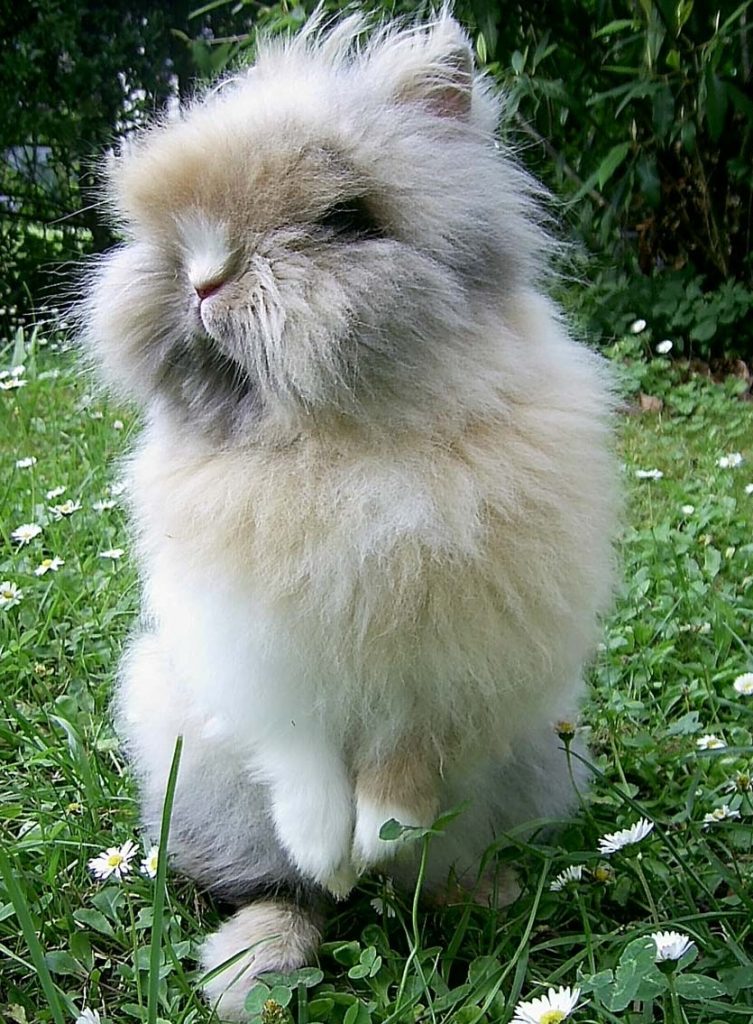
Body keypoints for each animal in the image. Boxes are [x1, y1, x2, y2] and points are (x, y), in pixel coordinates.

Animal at [79, 7, 618, 1018]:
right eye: (164, 230)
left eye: (345, 221)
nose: (201, 280)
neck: (335, 449)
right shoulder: (250, 654)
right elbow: (297, 758)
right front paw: (330, 852)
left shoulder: (440, 665)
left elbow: (402, 764)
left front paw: (378, 839)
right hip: (193, 775)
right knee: (269, 887)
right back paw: (254, 962)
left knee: (434, 872)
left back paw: (472, 891)